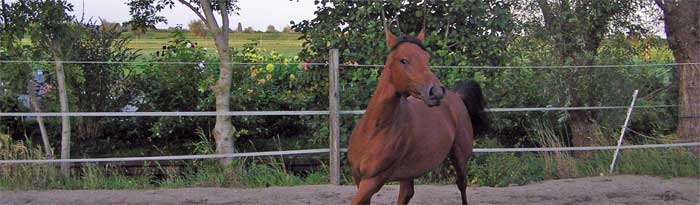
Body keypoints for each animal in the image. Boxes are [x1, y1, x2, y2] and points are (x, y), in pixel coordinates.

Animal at [348, 25, 490, 203]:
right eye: (403, 60)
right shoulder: (358, 178)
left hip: (460, 157)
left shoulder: (374, 180)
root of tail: (456, 96)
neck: (374, 131)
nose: (436, 92)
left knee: (462, 185)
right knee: (407, 193)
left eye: (426, 58)